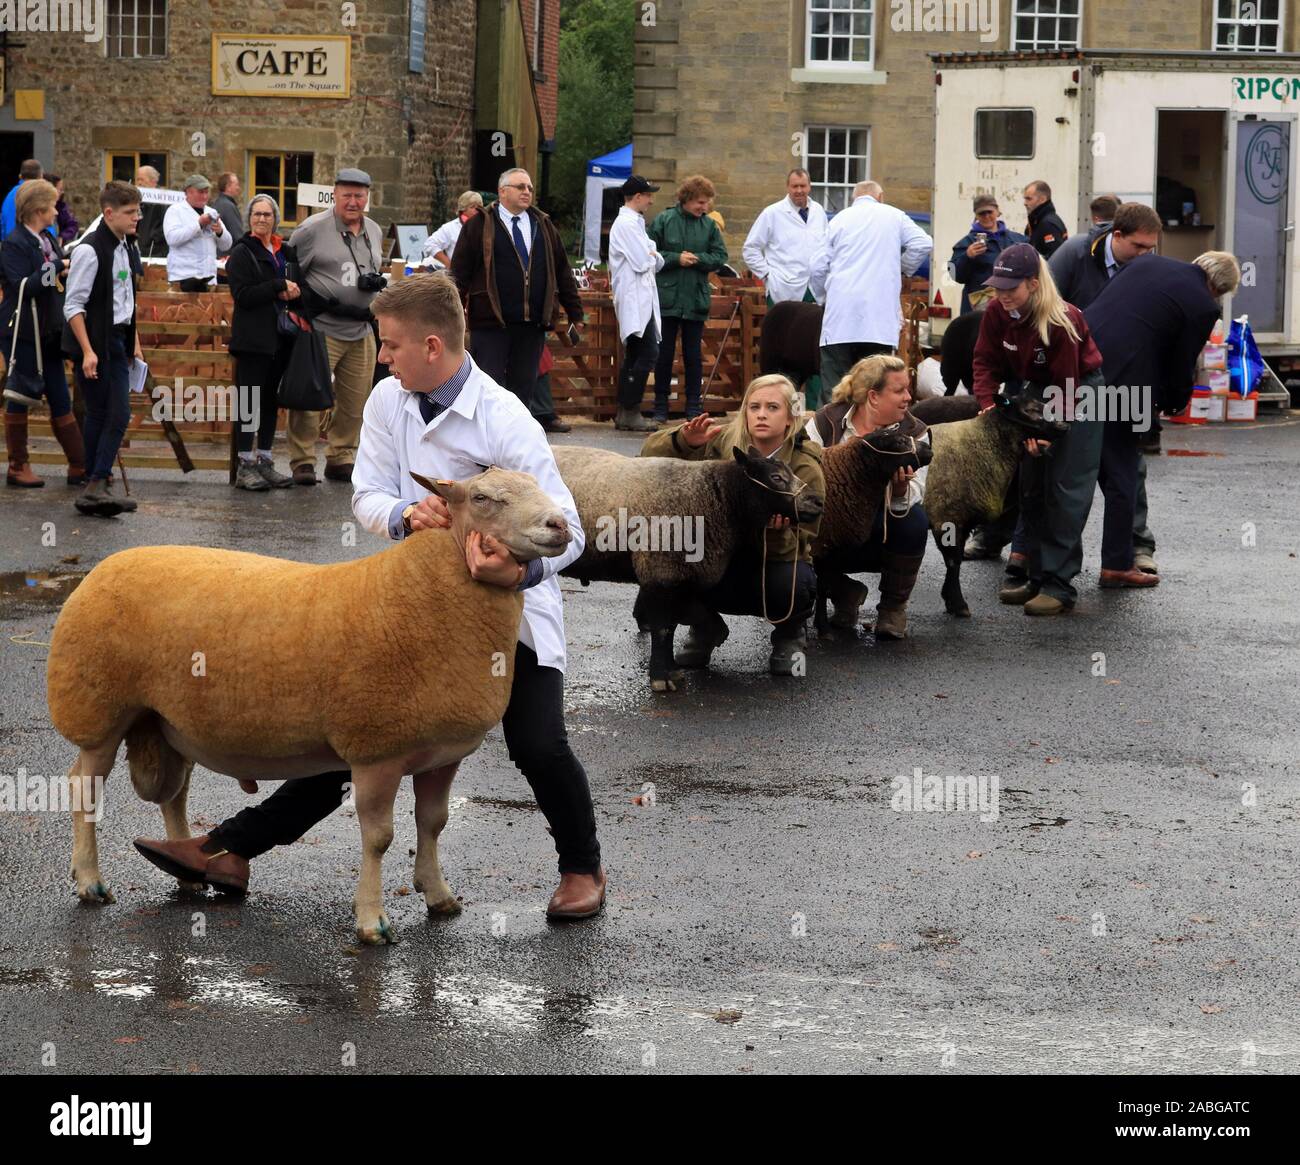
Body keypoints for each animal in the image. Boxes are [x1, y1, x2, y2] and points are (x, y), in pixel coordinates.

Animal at [45, 465, 569, 946]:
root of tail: (106, 565)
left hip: (169, 720)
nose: (560, 525)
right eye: (483, 498)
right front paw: (371, 921)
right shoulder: (375, 750)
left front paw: (439, 896)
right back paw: (91, 882)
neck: (424, 592)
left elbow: (434, 823)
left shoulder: (441, 753)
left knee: (175, 795)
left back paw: (186, 868)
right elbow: (379, 837)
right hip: (98, 709)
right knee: (83, 787)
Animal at [551, 442, 816, 686]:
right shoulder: (661, 571)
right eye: (776, 477)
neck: (716, 496)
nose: (817, 502)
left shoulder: (678, 576)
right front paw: (661, 678)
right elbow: (662, 628)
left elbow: (671, 626)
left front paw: (672, 671)